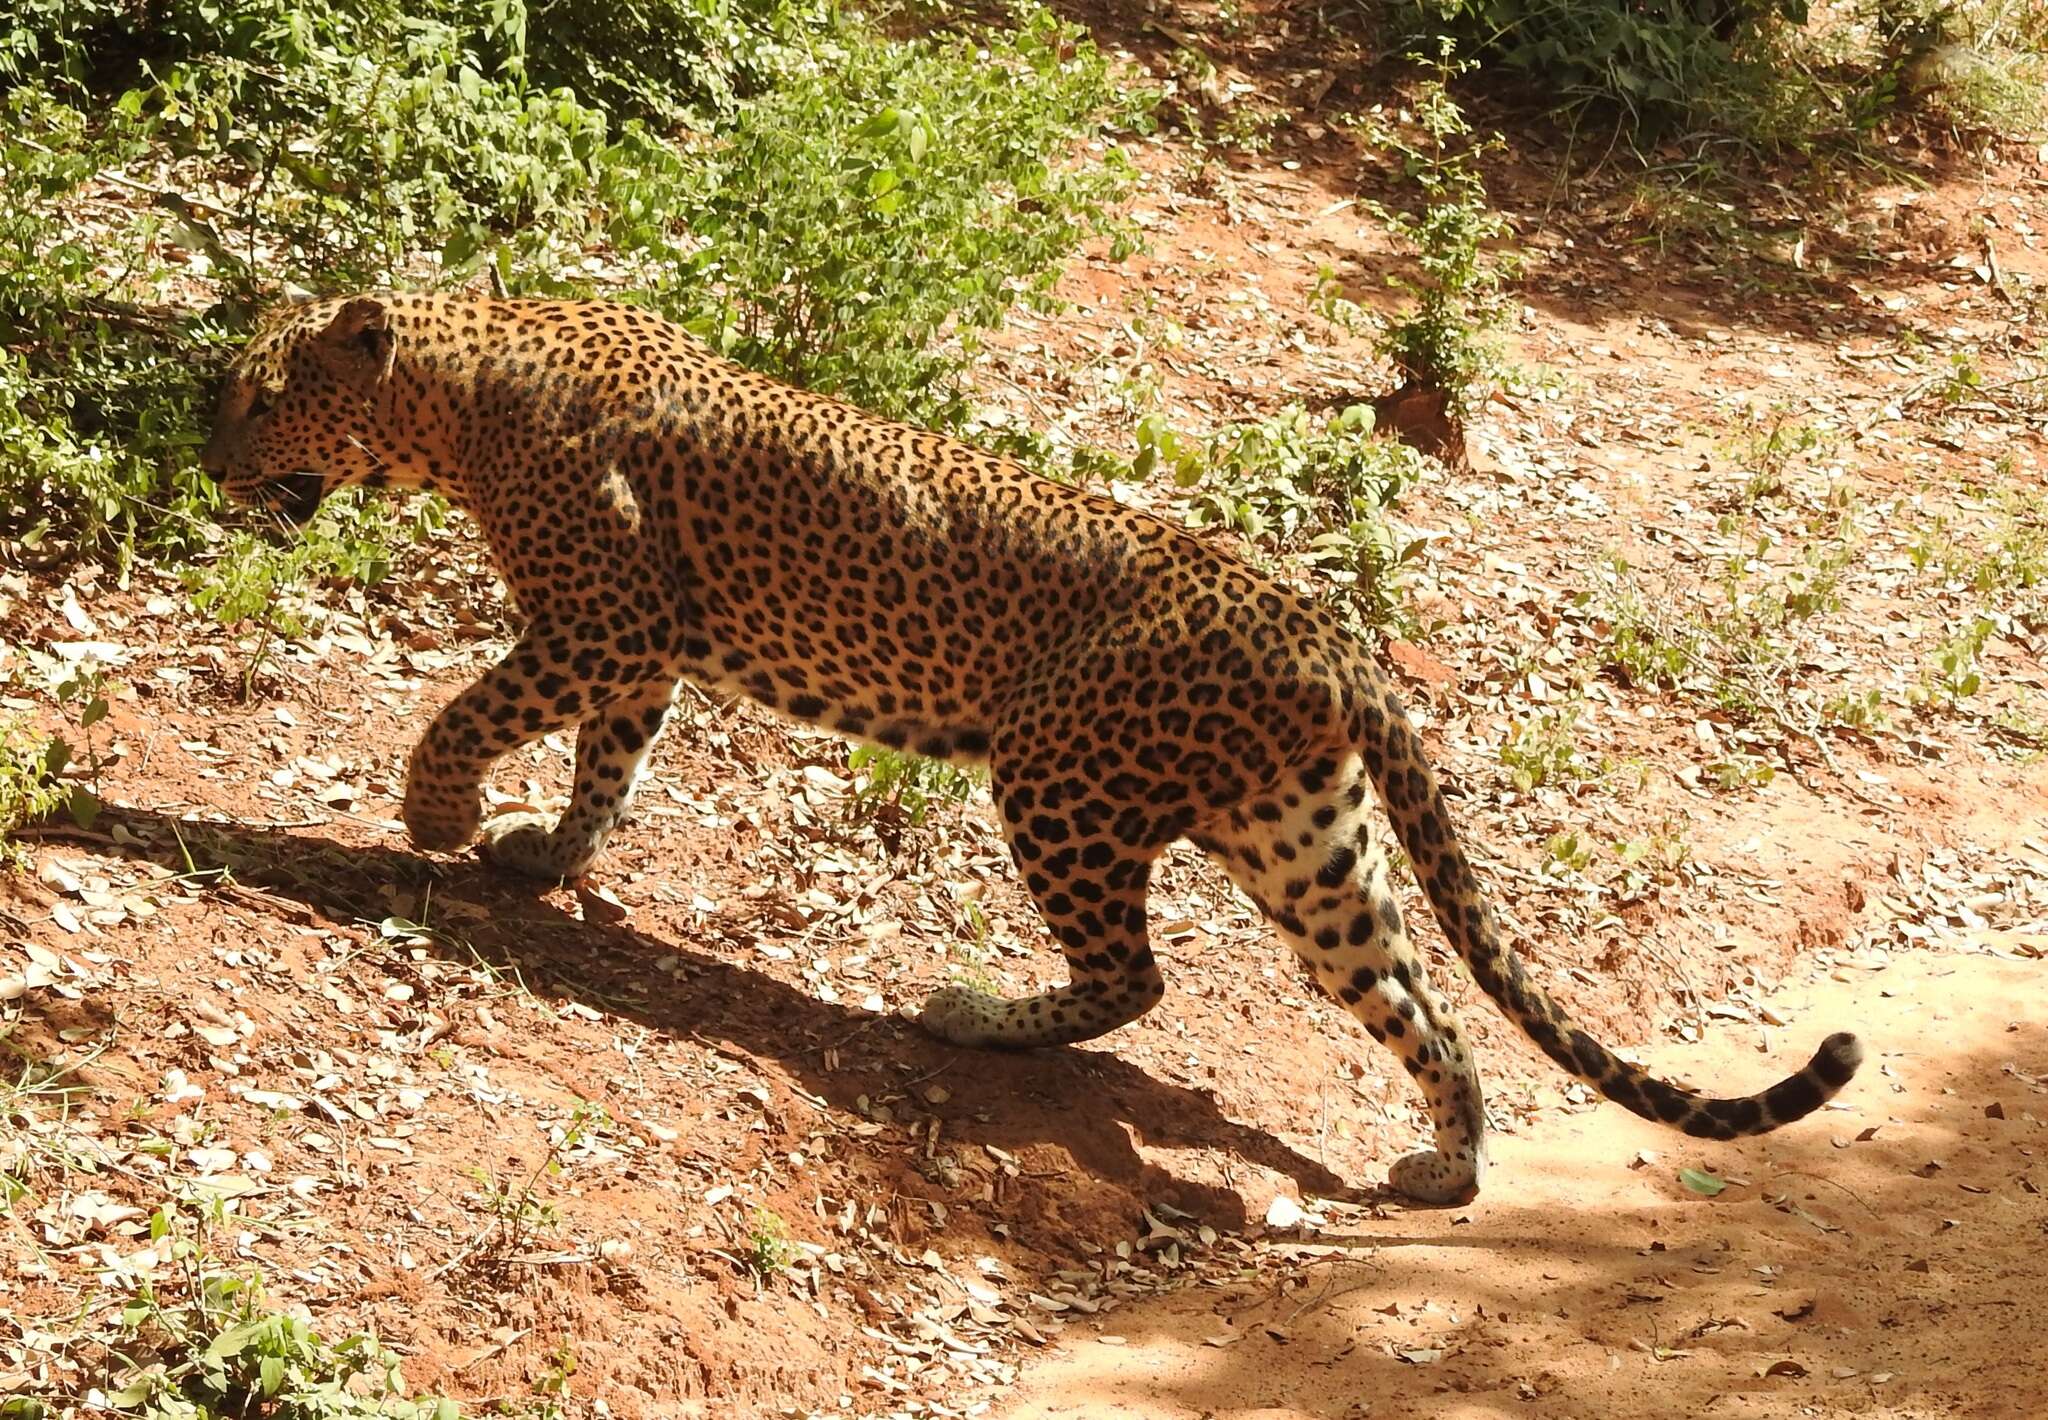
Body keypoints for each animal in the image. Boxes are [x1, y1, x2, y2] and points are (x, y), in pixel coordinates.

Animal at [199, 293, 1867, 1204]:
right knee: (1409, 996)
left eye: (262, 397)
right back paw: (1447, 1166)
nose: (206, 462)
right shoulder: (636, 654)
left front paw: (437, 816)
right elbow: (609, 765)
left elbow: (472, 709)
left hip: (1058, 775)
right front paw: (546, 854)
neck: (459, 397)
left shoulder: (604, 625)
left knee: (1136, 973)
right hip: (1301, 838)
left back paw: (967, 1016)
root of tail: (1321, 623)